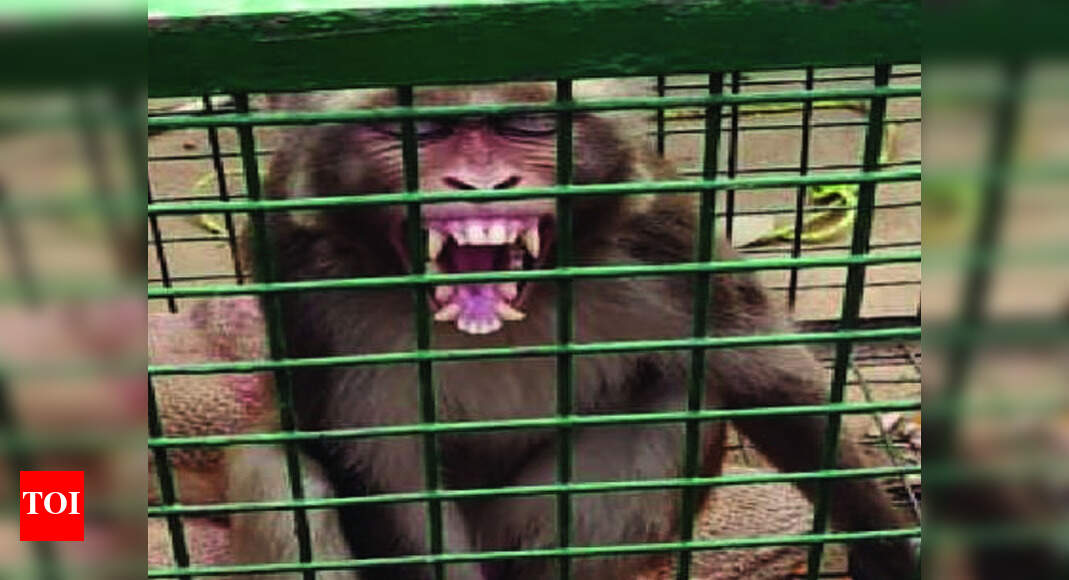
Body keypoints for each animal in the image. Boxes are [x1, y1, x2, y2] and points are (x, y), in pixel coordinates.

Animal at [226, 83, 918, 580]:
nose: (482, 185)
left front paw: (882, 542)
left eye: (528, 124)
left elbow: (764, 375)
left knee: (679, 397)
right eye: (418, 130)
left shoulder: (659, 236)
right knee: (276, 467)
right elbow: (384, 478)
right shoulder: (301, 282)